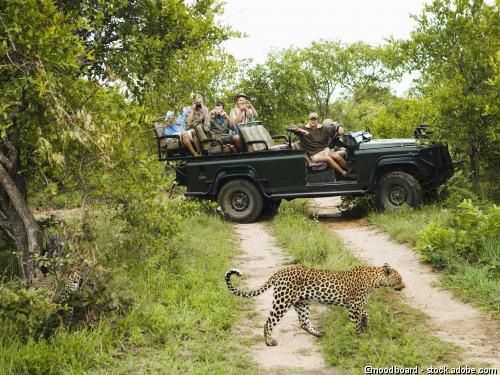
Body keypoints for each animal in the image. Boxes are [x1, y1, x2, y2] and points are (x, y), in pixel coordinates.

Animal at [225, 262, 404, 346]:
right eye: (399, 278)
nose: (404, 286)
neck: (375, 280)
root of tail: (280, 272)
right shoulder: (354, 305)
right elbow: (356, 322)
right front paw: (359, 336)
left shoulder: (355, 305)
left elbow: (365, 313)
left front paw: (365, 323)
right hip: (282, 301)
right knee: (269, 322)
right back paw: (269, 342)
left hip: (302, 303)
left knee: (304, 322)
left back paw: (319, 333)